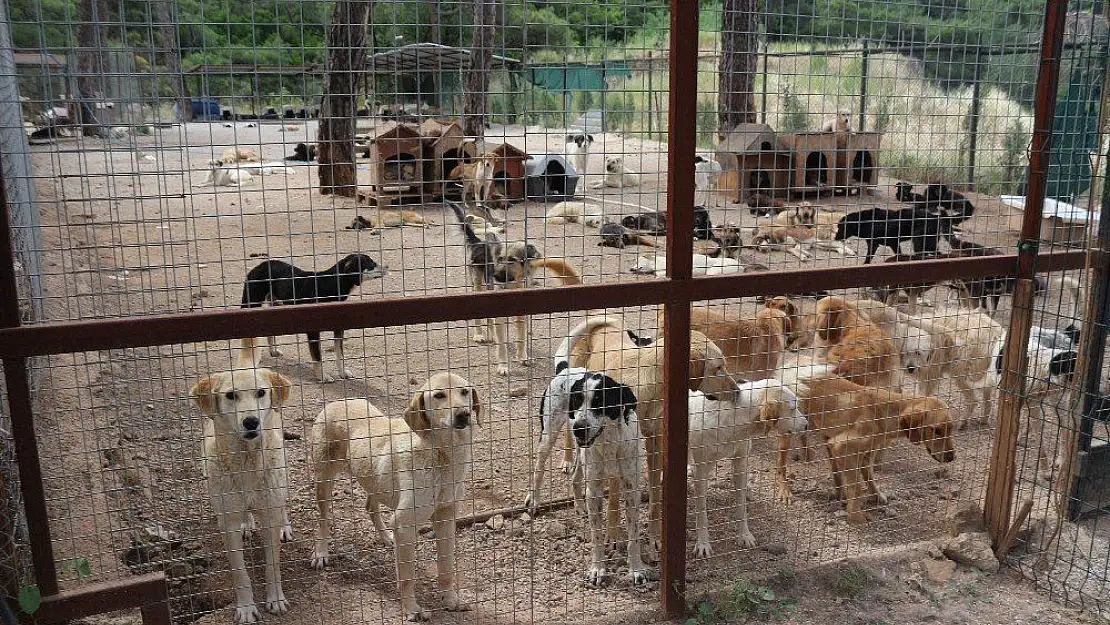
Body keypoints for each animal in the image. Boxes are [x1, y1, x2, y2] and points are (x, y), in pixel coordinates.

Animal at [192, 368, 293, 621]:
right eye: (230, 395)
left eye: (261, 392)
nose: (251, 421)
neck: (247, 462)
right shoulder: (227, 523)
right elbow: (239, 572)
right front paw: (246, 607)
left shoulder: (269, 516)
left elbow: (273, 565)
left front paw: (275, 599)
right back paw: (246, 523)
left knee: (281, 503)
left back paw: (285, 525)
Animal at [238, 253, 386, 381]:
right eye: (371, 263)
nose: (387, 267)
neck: (330, 285)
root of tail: (260, 265)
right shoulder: (313, 331)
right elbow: (318, 356)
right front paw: (322, 376)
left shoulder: (338, 327)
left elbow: (340, 354)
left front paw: (342, 372)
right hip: (251, 304)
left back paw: (273, 351)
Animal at [308, 370, 477, 621]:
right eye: (439, 395)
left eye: (464, 392)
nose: (464, 414)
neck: (442, 456)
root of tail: (337, 402)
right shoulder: (405, 525)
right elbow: (407, 577)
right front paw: (412, 609)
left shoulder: (446, 517)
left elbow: (446, 567)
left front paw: (450, 600)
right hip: (324, 480)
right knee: (323, 518)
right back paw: (321, 553)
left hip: (375, 480)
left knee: (370, 506)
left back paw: (386, 537)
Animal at [683, 381, 808, 557]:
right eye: (792, 408)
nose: (807, 425)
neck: (734, 419)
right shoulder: (702, 470)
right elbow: (701, 512)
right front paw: (703, 543)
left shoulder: (741, 464)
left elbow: (741, 506)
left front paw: (744, 535)